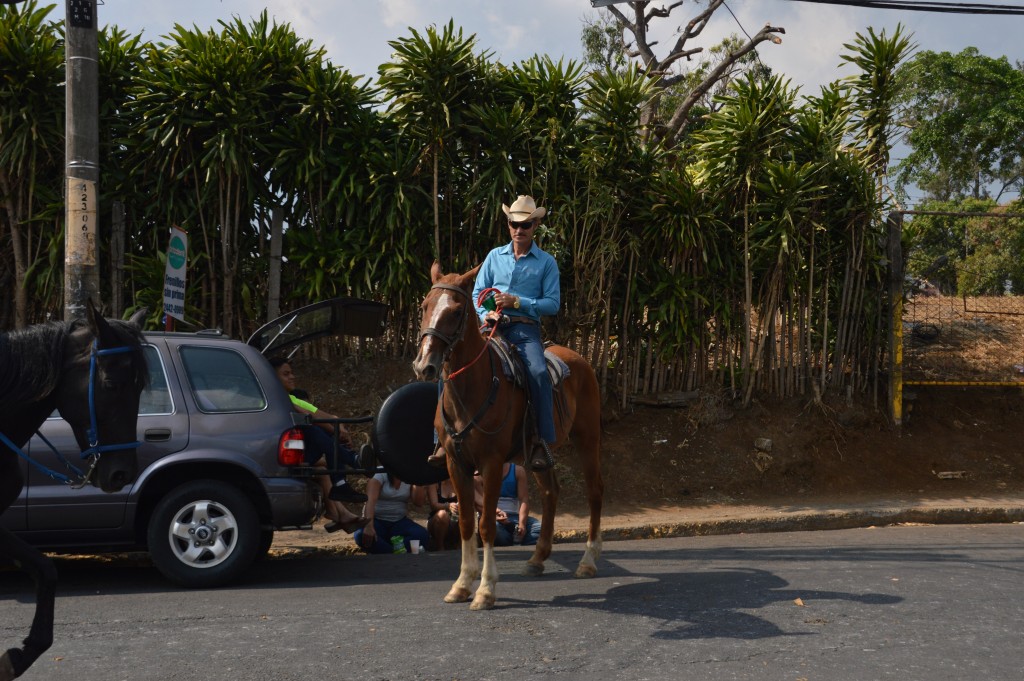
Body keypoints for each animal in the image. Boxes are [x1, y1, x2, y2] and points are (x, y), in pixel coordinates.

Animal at [409, 261, 602, 610]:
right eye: (424, 306)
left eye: (456, 311)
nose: (424, 365)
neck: (475, 386)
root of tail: (579, 359)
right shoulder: (456, 464)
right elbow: (467, 523)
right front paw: (461, 585)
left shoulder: (492, 463)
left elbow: (486, 525)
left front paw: (485, 589)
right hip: (537, 455)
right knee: (551, 492)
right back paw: (537, 559)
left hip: (588, 438)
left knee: (595, 493)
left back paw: (588, 561)